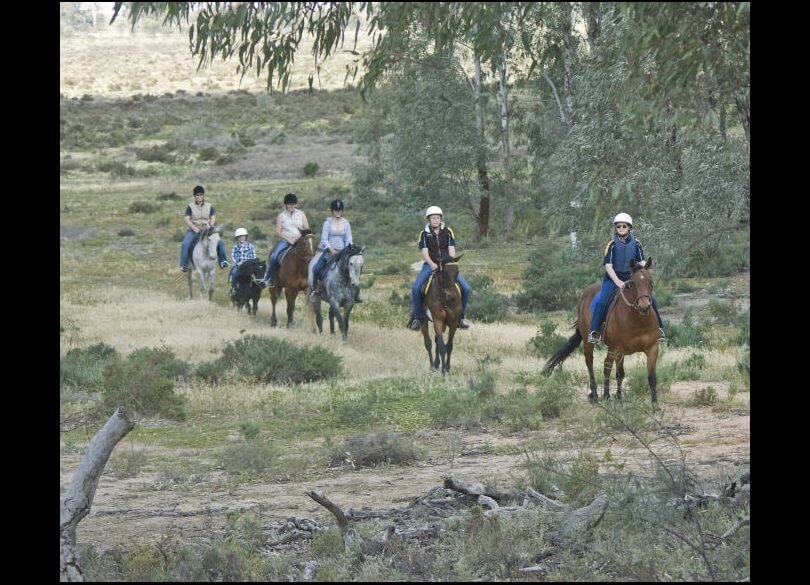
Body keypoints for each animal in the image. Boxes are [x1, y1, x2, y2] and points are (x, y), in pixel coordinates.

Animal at [544, 258, 656, 404]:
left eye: (650, 281)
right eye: (632, 284)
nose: (644, 307)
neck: (638, 322)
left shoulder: (652, 348)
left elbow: (651, 376)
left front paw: (655, 405)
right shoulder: (618, 348)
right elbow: (618, 372)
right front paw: (616, 397)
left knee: (607, 365)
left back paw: (607, 395)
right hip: (590, 343)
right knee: (590, 363)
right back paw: (595, 394)